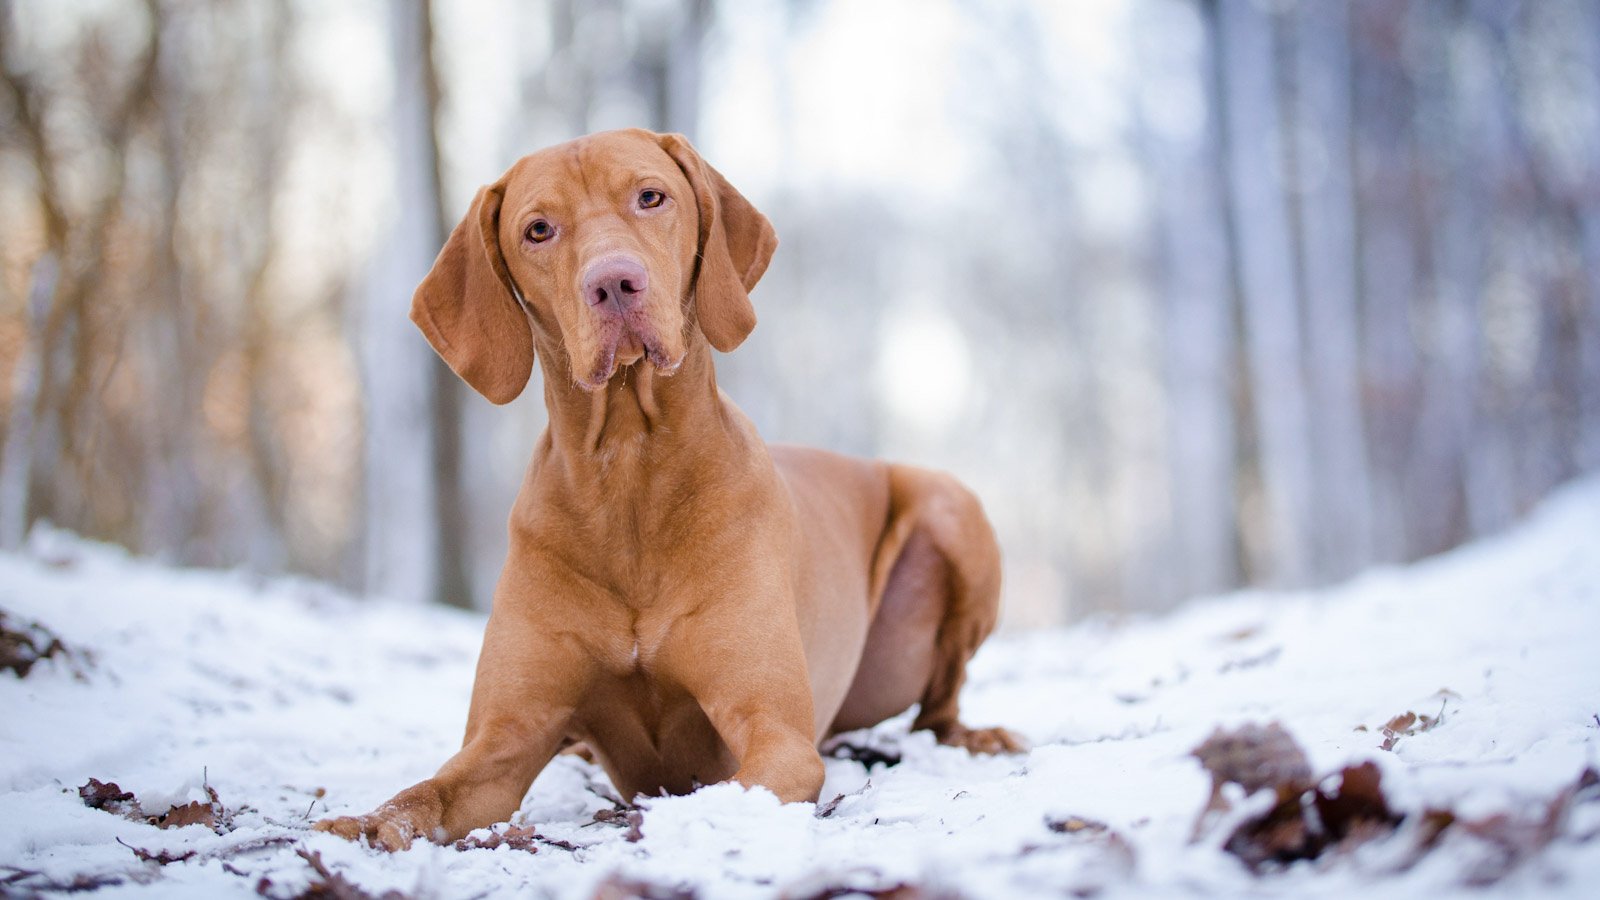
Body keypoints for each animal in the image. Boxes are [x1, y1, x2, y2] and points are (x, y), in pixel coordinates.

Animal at [316, 128, 1017, 845]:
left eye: (650, 197)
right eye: (538, 229)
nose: (613, 283)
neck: (629, 470)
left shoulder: (775, 734)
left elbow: (733, 787)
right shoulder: (504, 738)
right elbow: (421, 794)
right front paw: (358, 827)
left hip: (951, 508)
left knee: (939, 709)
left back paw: (979, 737)